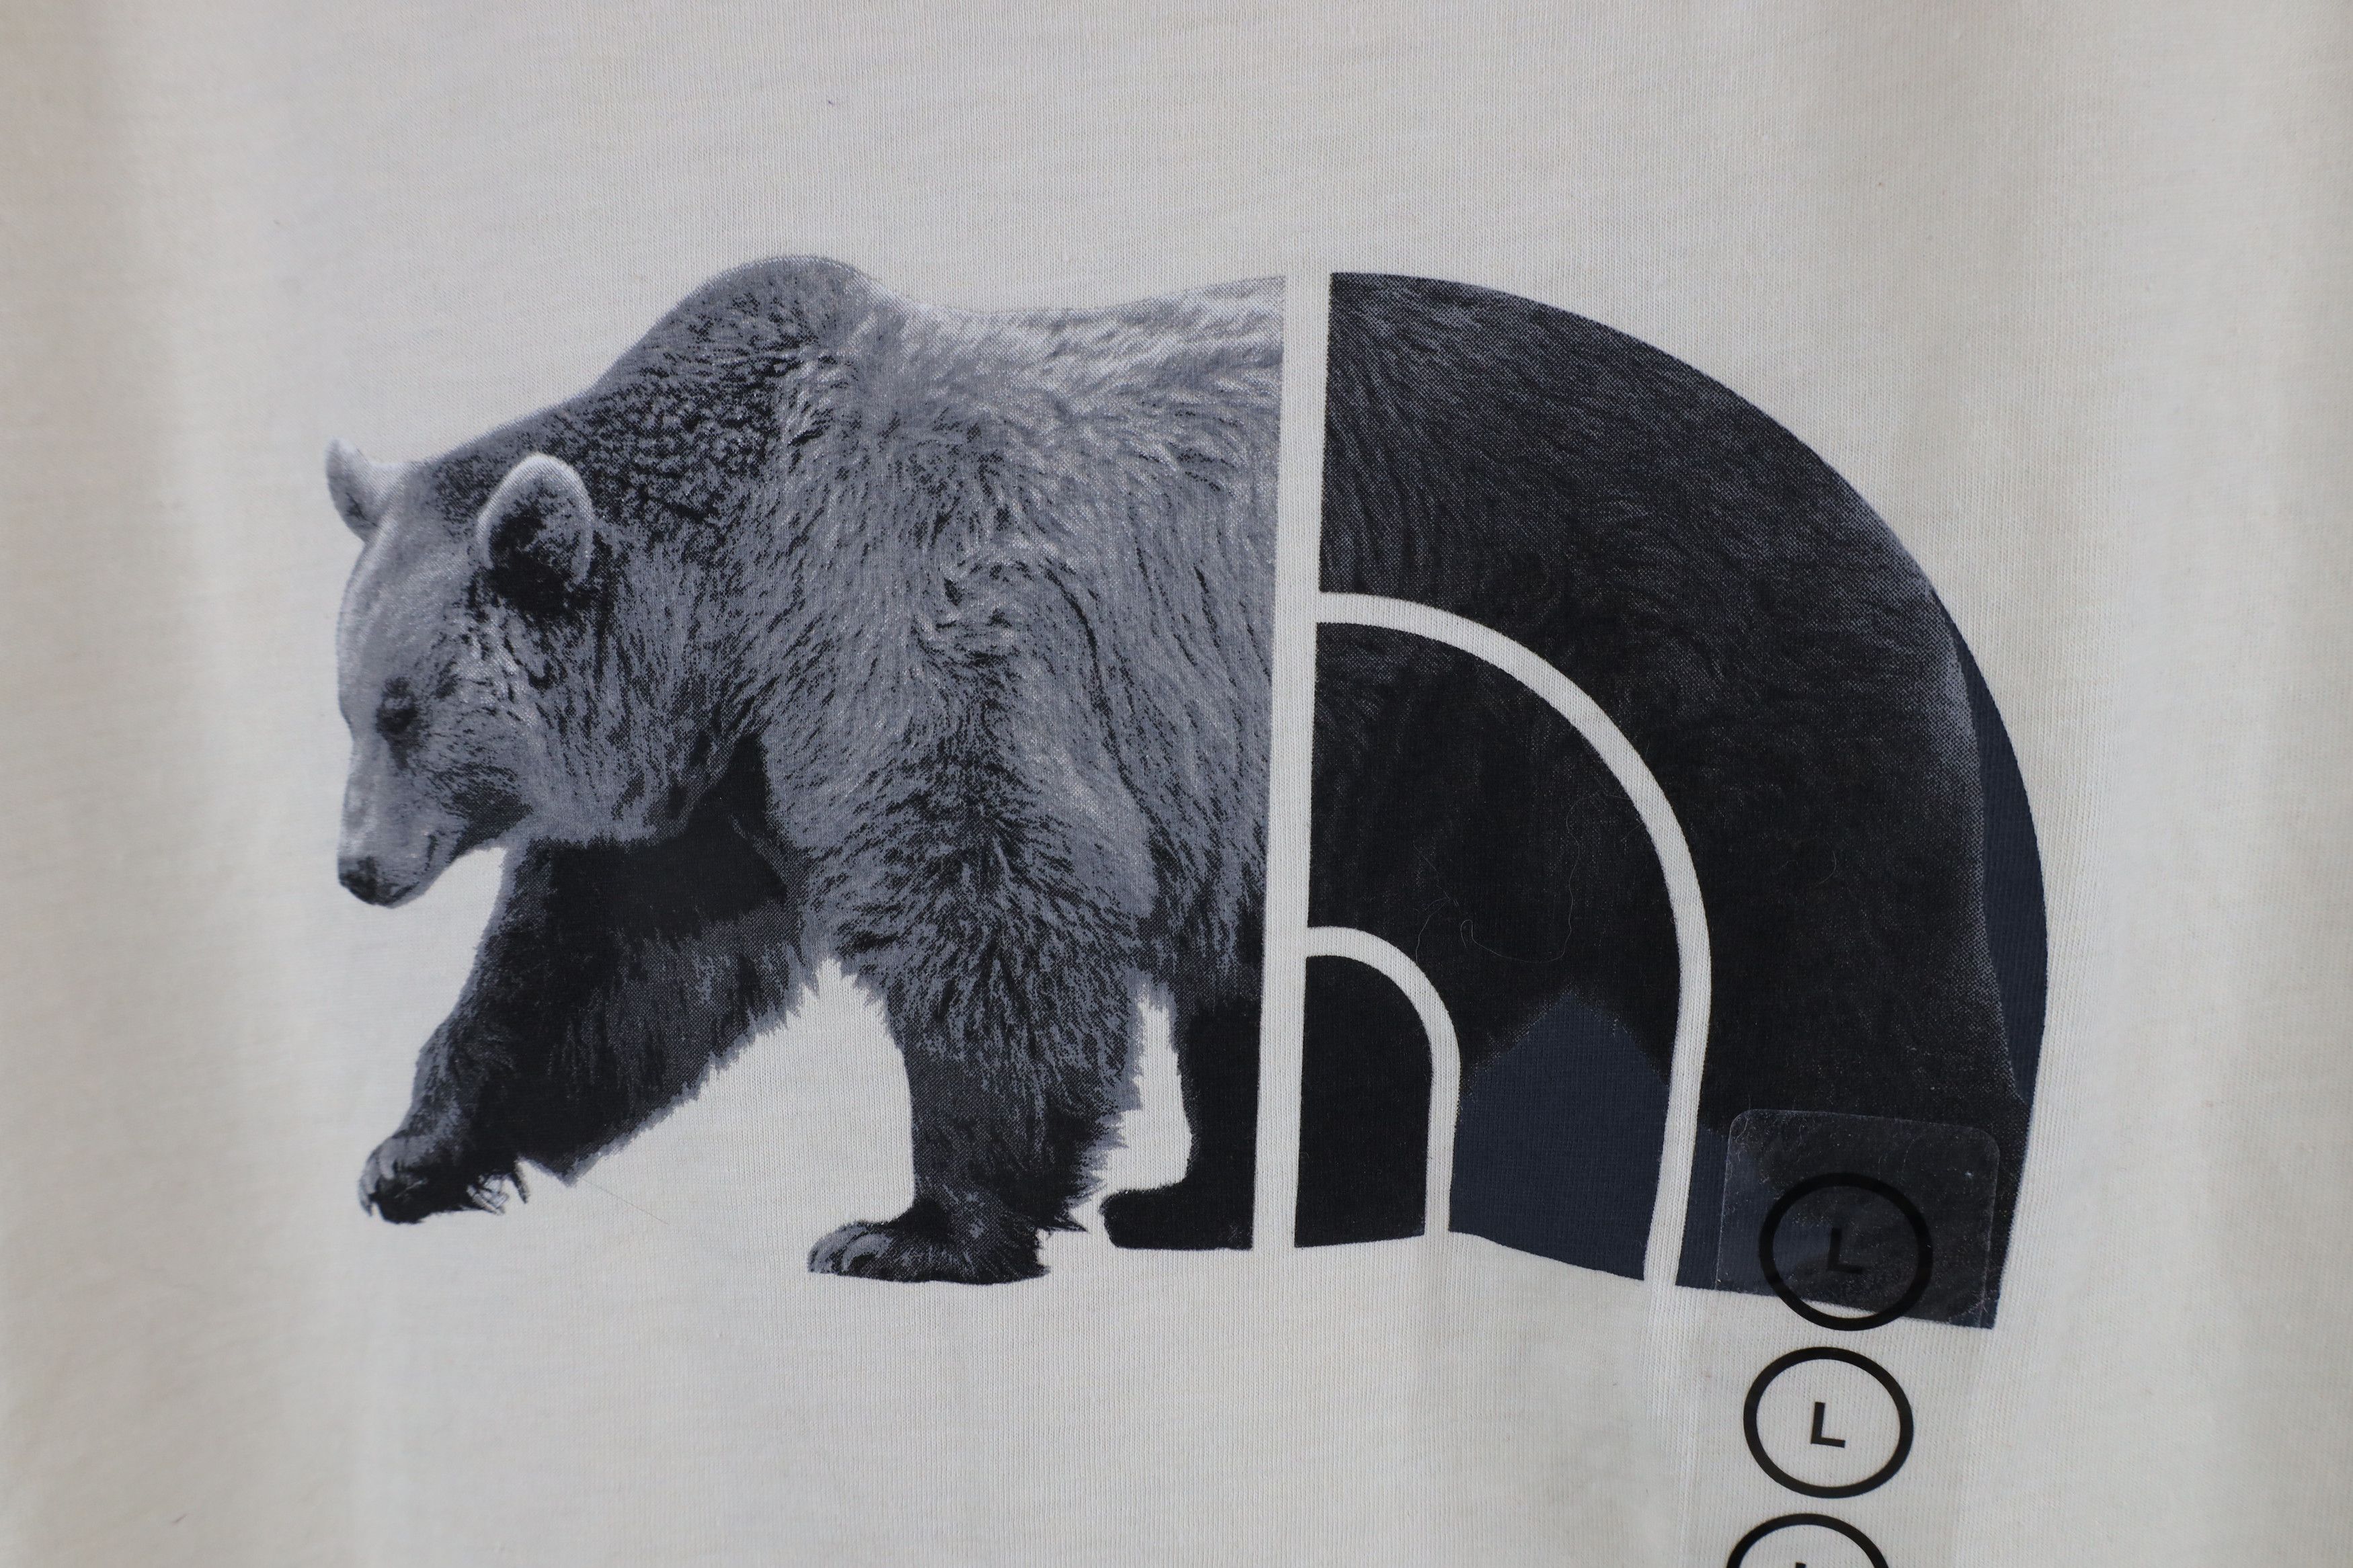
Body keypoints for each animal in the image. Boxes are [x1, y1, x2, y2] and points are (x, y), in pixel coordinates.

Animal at [330, 259, 1283, 1282]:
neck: (733, 595)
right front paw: (414, 1153)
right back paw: (1193, 1201)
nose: (359, 869)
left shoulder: (911, 627)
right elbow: (590, 968)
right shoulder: (720, 777)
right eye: (347, 704)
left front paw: (916, 1228)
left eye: (403, 712)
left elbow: (986, 898)